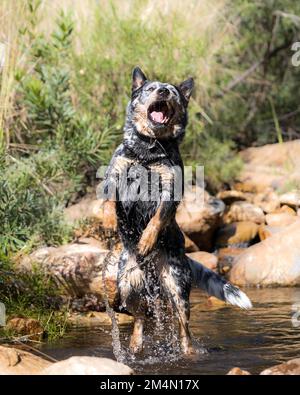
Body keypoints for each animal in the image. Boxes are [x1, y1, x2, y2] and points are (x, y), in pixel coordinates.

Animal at [102, 67, 252, 356]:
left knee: (184, 332)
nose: (162, 91)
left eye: (171, 91)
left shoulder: (170, 190)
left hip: (177, 290)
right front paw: (107, 221)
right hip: (127, 284)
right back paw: (135, 347)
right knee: (139, 317)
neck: (146, 153)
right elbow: (106, 200)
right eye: (150, 89)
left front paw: (146, 240)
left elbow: (159, 217)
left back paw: (187, 352)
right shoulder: (115, 174)